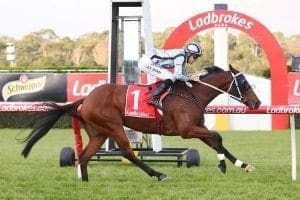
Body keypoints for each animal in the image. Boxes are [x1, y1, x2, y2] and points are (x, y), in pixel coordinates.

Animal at [21, 65, 260, 182]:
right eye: (244, 83)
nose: (257, 103)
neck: (193, 94)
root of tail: (86, 99)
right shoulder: (186, 130)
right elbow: (218, 137)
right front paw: (222, 165)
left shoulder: (197, 128)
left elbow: (217, 141)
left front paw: (243, 165)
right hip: (114, 126)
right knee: (127, 152)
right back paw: (158, 174)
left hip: (99, 133)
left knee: (84, 157)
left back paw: (86, 182)